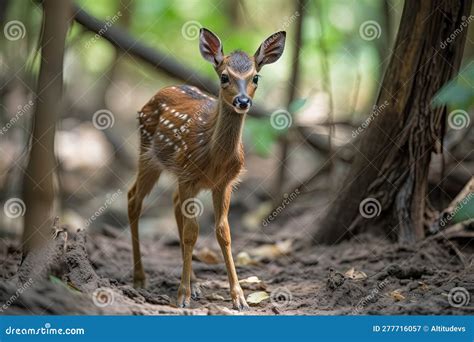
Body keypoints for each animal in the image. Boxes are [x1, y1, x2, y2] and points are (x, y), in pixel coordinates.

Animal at [126, 27, 286, 310]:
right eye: (224, 76)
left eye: (255, 76)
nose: (242, 101)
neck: (215, 158)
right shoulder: (188, 175)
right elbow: (192, 233)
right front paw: (183, 296)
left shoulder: (224, 183)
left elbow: (223, 232)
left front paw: (239, 298)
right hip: (148, 155)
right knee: (134, 199)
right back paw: (140, 277)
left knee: (174, 203)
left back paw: (196, 282)